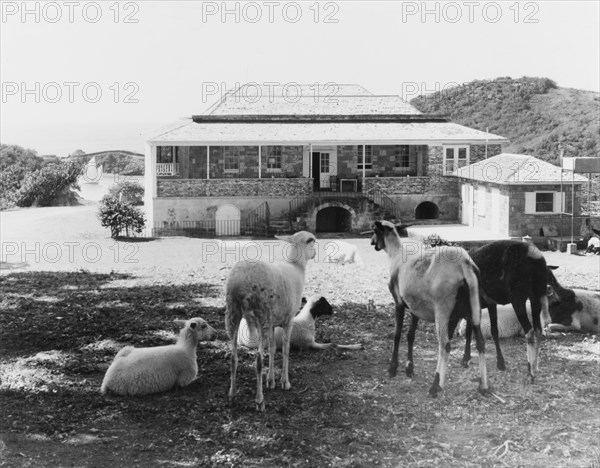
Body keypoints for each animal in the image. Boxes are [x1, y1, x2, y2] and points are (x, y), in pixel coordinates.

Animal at [225, 230, 318, 410]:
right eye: (312, 242)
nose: (315, 254)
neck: (297, 267)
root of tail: (242, 283)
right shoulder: (288, 320)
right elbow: (286, 349)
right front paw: (284, 382)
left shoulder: (274, 323)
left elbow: (274, 348)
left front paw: (270, 380)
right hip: (261, 316)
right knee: (258, 360)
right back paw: (259, 400)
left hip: (233, 313)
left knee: (233, 357)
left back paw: (232, 394)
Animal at [370, 221, 488, 396]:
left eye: (375, 231)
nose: (372, 243)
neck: (395, 255)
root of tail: (465, 265)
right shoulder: (415, 307)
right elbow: (410, 335)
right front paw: (409, 369)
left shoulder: (399, 302)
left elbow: (397, 335)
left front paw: (392, 369)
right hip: (474, 307)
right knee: (480, 341)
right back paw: (484, 386)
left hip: (442, 309)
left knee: (444, 345)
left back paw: (435, 386)